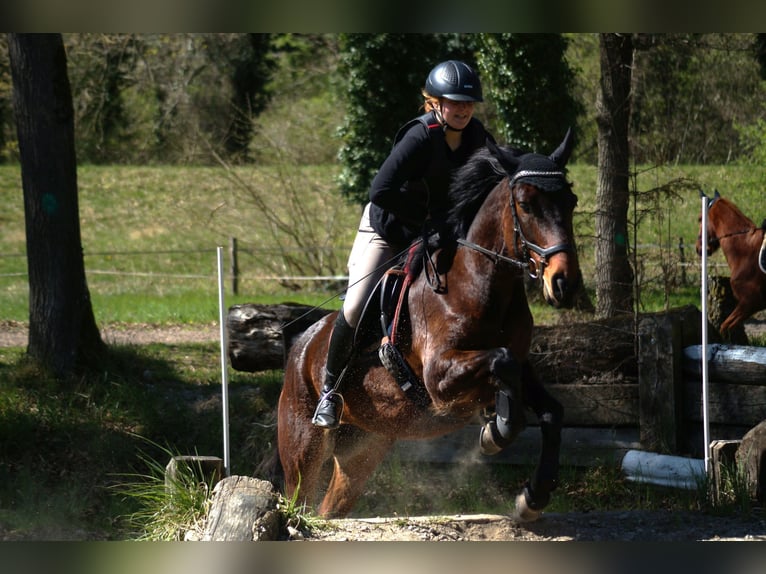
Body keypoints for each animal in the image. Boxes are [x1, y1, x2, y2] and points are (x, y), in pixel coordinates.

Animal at [277, 130, 582, 521]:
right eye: (526, 205)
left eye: (571, 202)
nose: (565, 283)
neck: (479, 282)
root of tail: (302, 343)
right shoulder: (438, 376)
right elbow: (501, 363)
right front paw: (496, 432)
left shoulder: (519, 363)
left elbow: (549, 410)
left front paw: (533, 497)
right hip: (304, 448)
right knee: (299, 495)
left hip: (363, 447)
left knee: (329, 507)